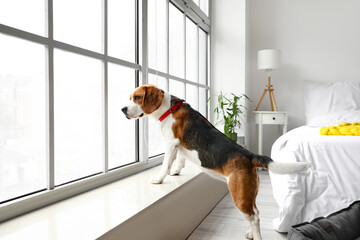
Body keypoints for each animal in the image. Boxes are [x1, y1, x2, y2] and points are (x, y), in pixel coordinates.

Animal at [122, 84, 308, 240]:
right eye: (130, 97)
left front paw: (159, 179)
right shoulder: (179, 146)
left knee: (254, 217)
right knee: (255, 212)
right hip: (248, 193)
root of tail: (249, 155)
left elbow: (165, 164)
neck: (170, 109)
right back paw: (250, 233)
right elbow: (180, 160)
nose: (123, 109)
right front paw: (176, 172)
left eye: (137, 98)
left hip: (239, 195)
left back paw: (256, 236)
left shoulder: (171, 143)